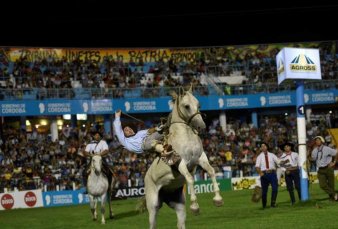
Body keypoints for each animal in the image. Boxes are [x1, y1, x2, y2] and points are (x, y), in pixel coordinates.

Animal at [144, 86, 223, 229]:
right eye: (186, 106)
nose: (202, 126)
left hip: (179, 206)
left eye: (199, 104)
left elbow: (211, 171)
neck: (186, 137)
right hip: (153, 207)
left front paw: (218, 199)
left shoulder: (201, 158)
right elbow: (190, 179)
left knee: (180, 224)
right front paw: (195, 206)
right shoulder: (181, 163)